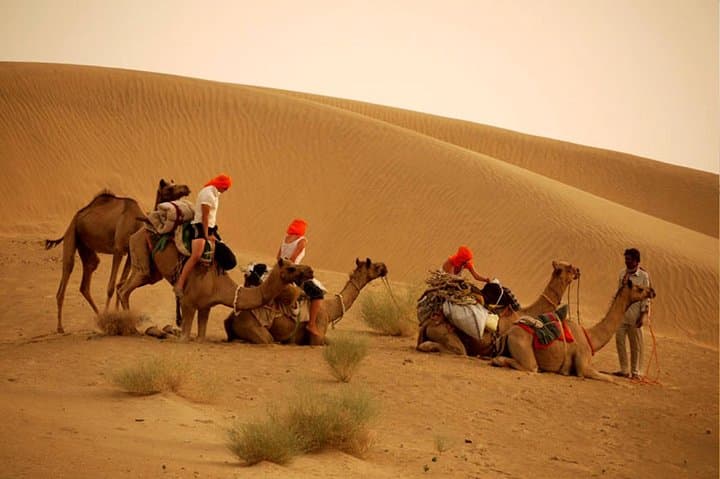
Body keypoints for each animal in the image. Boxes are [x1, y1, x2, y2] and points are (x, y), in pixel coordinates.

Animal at [45, 180, 190, 333]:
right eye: (169, 188)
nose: (186, 188)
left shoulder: (129, 255)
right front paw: (112, 318)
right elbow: (111, 286)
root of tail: (75, 218)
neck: (138, 223)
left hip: (86, 248)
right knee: (67, 270)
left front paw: (117, 315)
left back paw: (99, 317)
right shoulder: (119, 249)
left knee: (87, 278)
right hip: (71, 234)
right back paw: (61, 327)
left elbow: (119, 283)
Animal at [117, 231, 314, 340]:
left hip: (152, 271)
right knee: (124, 290)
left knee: (123, 287)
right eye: (290, 268)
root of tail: (138, 231)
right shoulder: (188, 303)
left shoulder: (206, 306)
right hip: (140, 251)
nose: (310, 270)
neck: (218, 285)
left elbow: (201, 337)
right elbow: (185, 337)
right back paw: (131, 329)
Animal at [224, 258, 388, 346]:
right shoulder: (317, 337)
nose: (385, 267)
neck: (329, 309)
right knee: (265, 339)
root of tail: (232, 317)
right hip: (255, 329)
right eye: (375, 266)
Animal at [491, 279, 656, 381]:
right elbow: (609, 378)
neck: (590, 337)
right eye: (640, 288)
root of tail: (508, 333)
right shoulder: (582, 366)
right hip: (524, 347)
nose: (652, 291)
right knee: (530, 367)